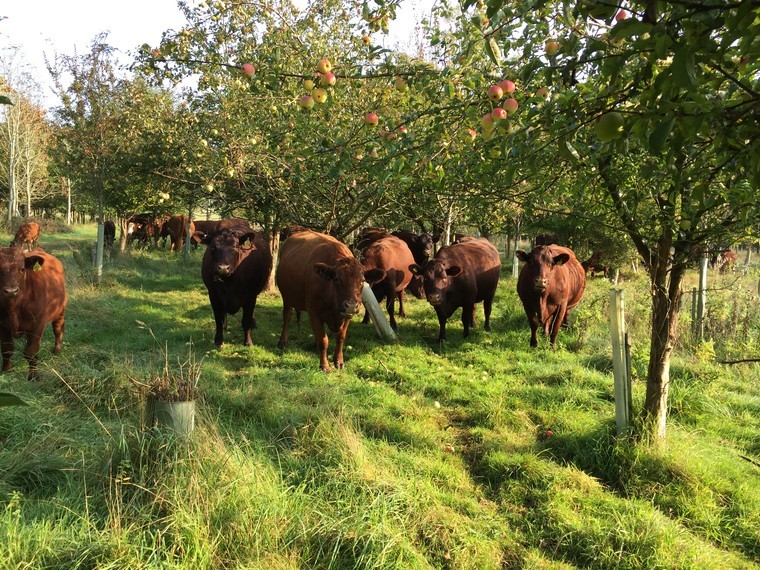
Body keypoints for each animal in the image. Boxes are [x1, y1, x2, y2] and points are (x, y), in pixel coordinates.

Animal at [274, 229, 386, 370]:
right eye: (337, 279)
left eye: (362, 281)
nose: (351, 305)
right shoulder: (314, 311)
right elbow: (323, 340)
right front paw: (324, 365)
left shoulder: (346, 315)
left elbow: (340, 337)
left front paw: (339, 361)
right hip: (287, 298)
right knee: (287, 317)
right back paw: (282, 342)